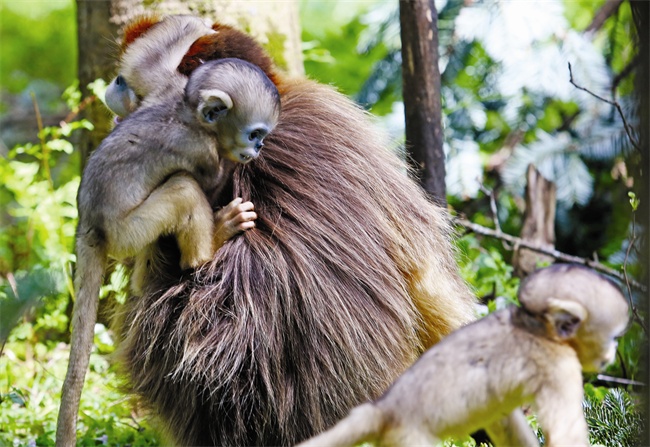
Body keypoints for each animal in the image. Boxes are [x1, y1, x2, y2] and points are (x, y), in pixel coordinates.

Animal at [54, 57, 278, 446]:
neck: (188, 114)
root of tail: (89, 223)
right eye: (254, 134)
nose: (259, 149)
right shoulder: (200, 149)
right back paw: (211, 244)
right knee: (185, 188)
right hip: (128, 230)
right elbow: (207, 180)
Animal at [298, 264, 628, 447]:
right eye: (613, 337)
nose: (612, 353)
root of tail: (385, 409)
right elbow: (564, 435)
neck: (536, 328)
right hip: (408, 437)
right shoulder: (560, 367)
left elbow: (503, 419)